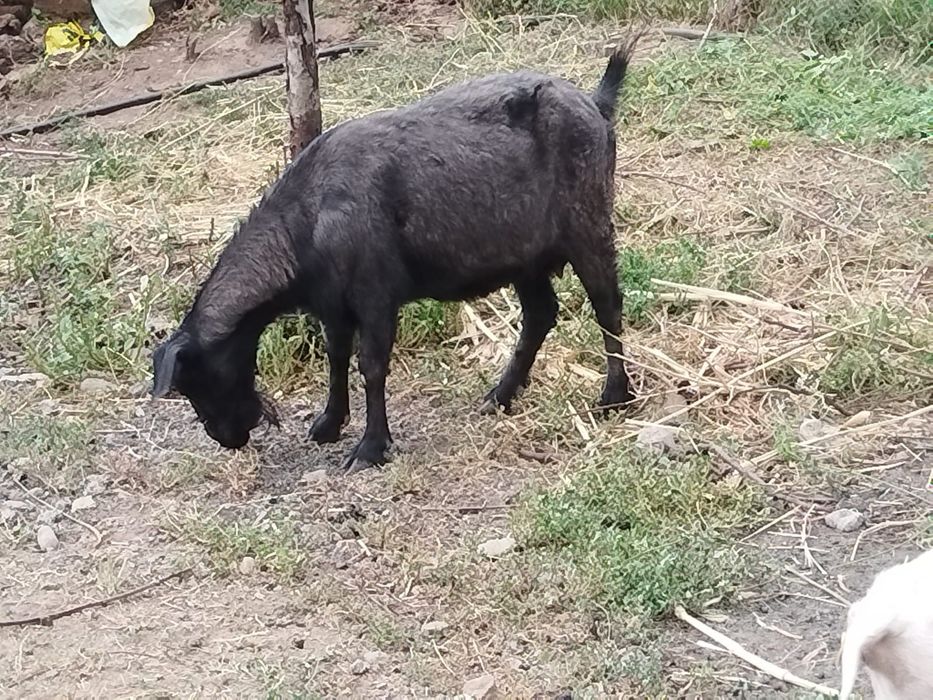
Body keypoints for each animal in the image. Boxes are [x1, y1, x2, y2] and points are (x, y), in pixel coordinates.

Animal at [151, 36, 641, 472]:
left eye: (200, 377)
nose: (226, 436)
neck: (307, 219)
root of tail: (595, 105)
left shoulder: (375, 296)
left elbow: (371, 366)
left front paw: (370, 447)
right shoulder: (333, 305)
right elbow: (335, 356)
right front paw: (329, 424)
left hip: (588, 225)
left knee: (607, 305)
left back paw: (615, 396)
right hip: (525, 255)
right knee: (540, 314)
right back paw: (500, 395)